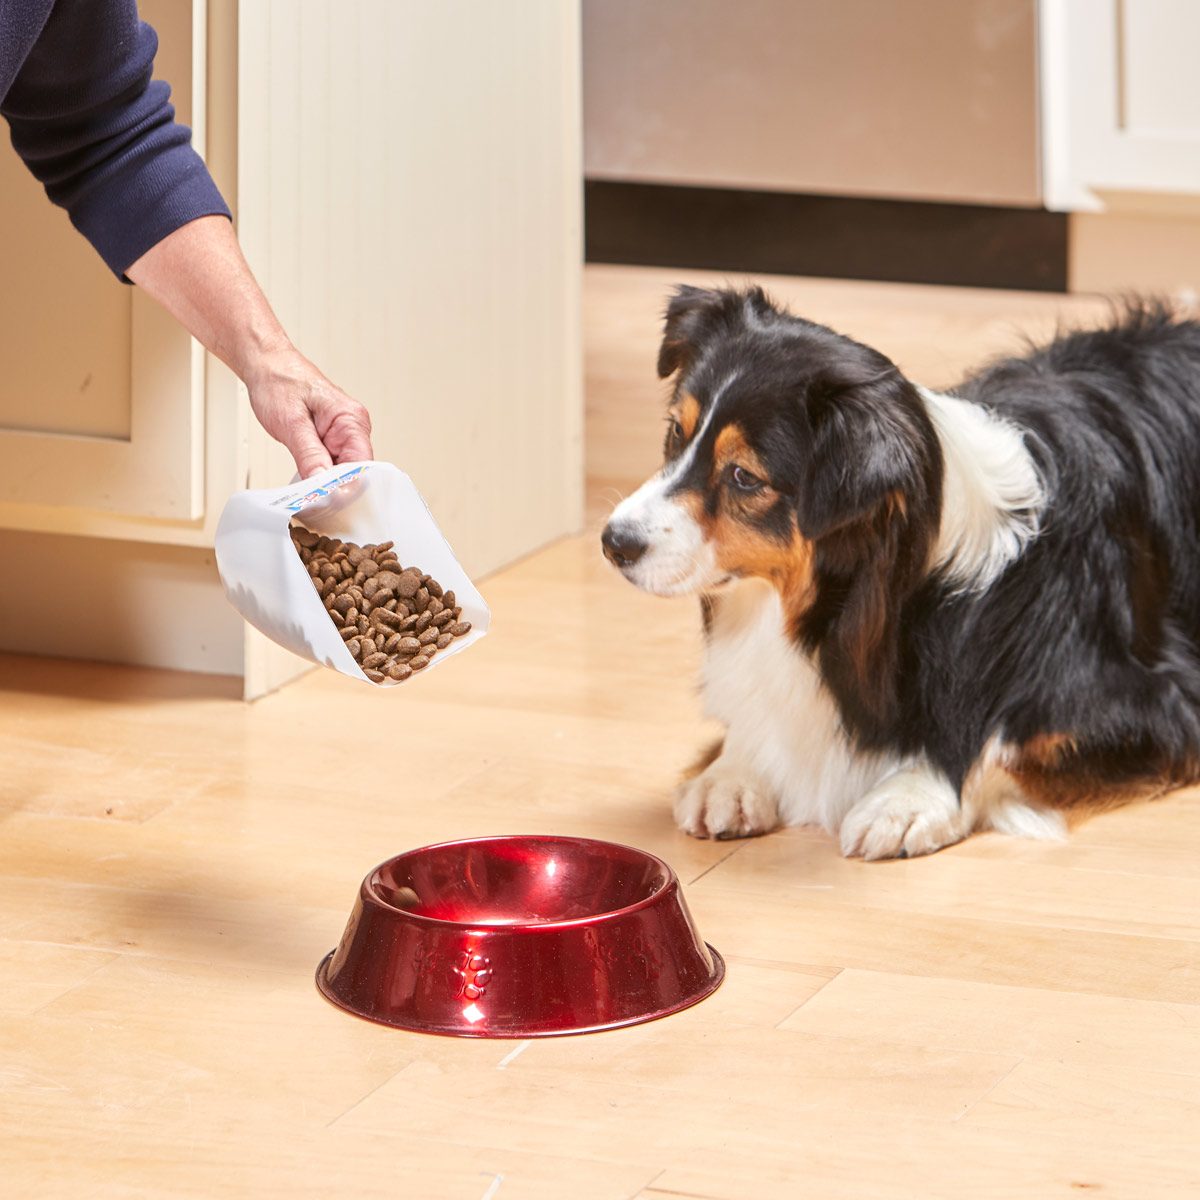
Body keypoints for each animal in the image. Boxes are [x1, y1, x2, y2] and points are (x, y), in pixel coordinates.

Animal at [604, 285, 1200, 859]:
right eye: (675, 432)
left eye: (744, 477)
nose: (614, 543)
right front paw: (734, 769)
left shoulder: (1151, 699)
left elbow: (998, 743)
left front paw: (910, 798)